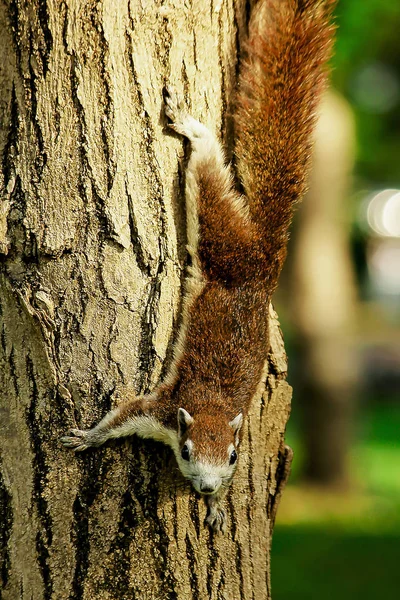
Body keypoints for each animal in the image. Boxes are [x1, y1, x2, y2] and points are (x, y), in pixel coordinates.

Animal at [61, 0, 334, 536]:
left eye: (231, 458)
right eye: (186, 451)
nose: (206, 487)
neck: (211, 406)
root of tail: (264, 260)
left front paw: (218, 507)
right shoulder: (160, 410)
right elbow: (121, 415)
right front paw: (87, 437)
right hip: (219, 237)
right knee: (208, 172)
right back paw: (191, 125)